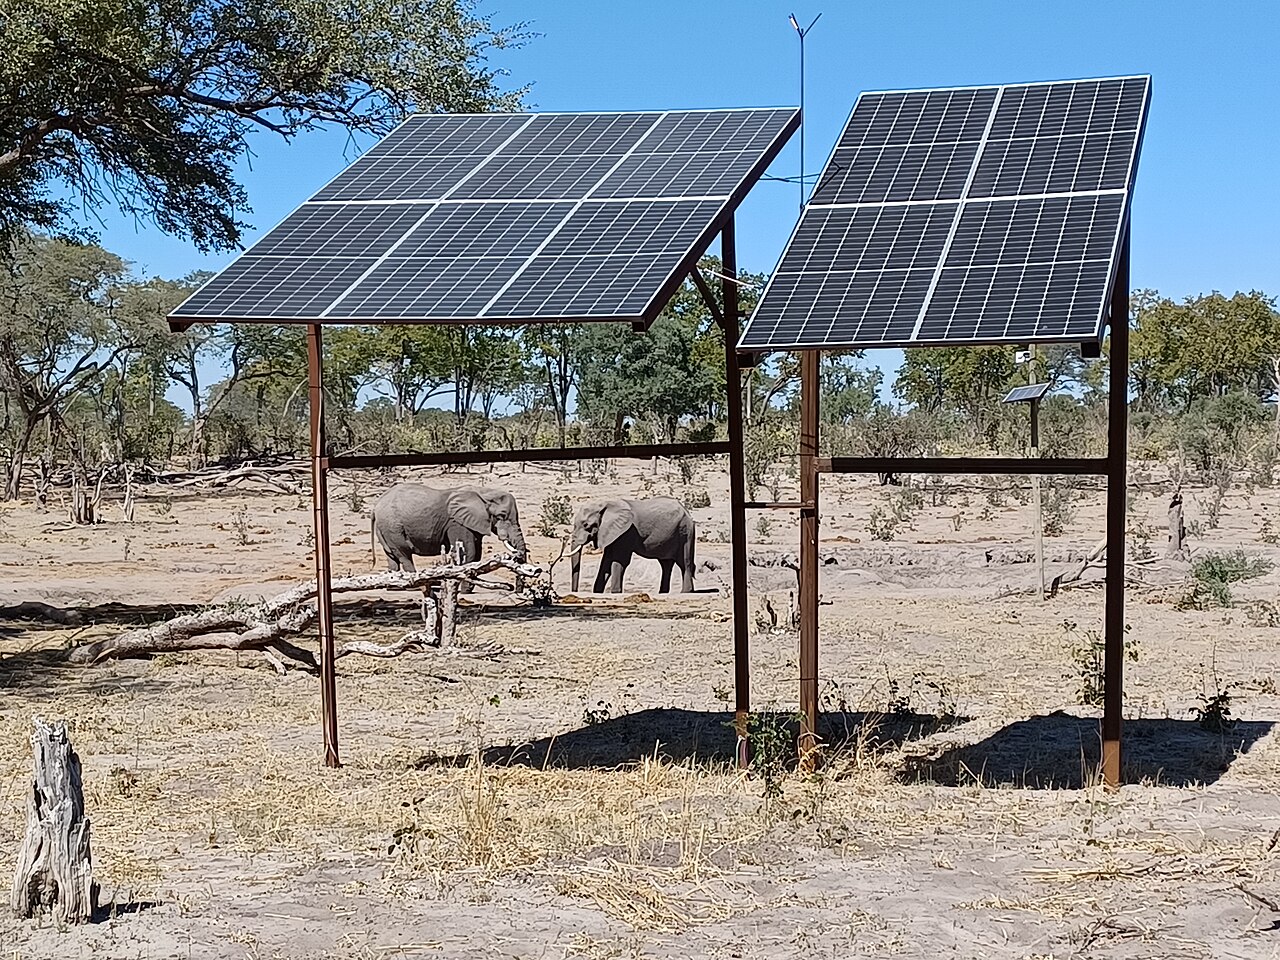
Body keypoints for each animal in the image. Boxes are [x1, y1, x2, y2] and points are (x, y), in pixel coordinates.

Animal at [369, 483, 527, 573]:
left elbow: (477, 554)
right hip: (392, 527)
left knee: (391, 556)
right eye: (501, 516)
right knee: (404, 554)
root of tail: (375, 506)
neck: (484, 492)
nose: (517, 555)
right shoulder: (456, 522)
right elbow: (470, 552)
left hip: (384, 528)